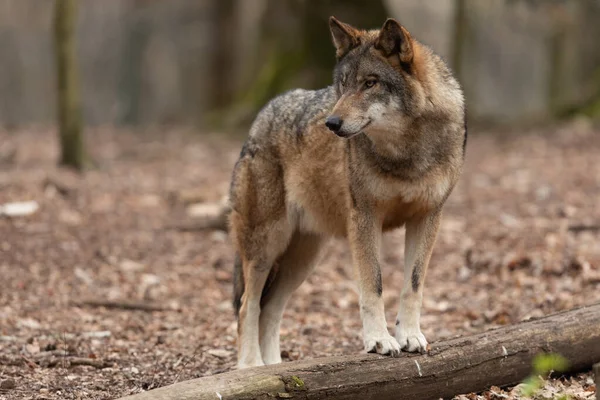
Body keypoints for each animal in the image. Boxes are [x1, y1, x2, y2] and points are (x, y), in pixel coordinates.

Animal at [227, 15, 466, 368]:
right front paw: (379, 341)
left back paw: (274, 367)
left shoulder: (428, 217)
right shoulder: (365, 218)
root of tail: (258, 119)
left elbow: (413, 284)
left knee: (269, 310)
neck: (406, 153)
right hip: (266, 246)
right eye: (343, 84)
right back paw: (251, 367)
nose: (332, 123)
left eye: (370, 83)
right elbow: (373, 285)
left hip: (303, 259)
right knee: (248, 305)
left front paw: (409, 336)